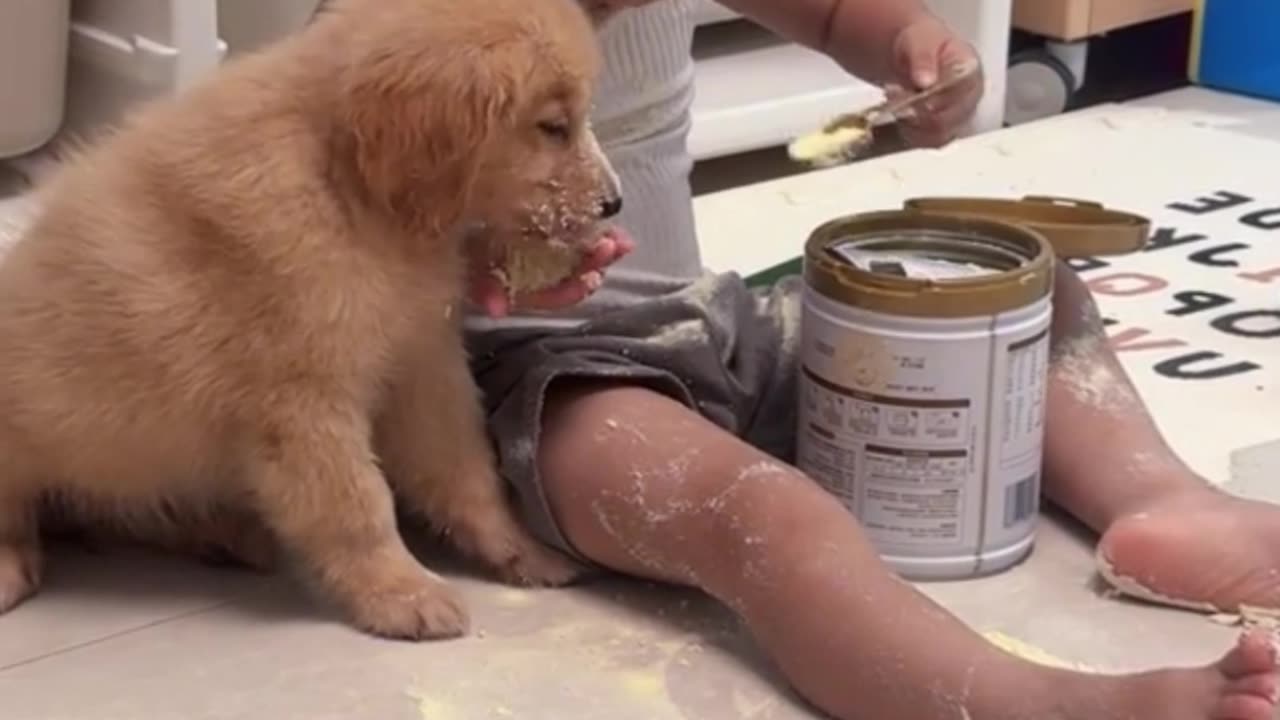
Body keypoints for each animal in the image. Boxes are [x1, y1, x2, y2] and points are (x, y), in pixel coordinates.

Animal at [0, 0, 619, 635]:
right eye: (553, 126)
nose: (613, 203)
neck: (345, 186)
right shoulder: (301, 403)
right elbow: (357, 504)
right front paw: (400, 592)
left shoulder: (422, 367)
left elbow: (466, 472)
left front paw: (520, 551)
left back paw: (224, 534)